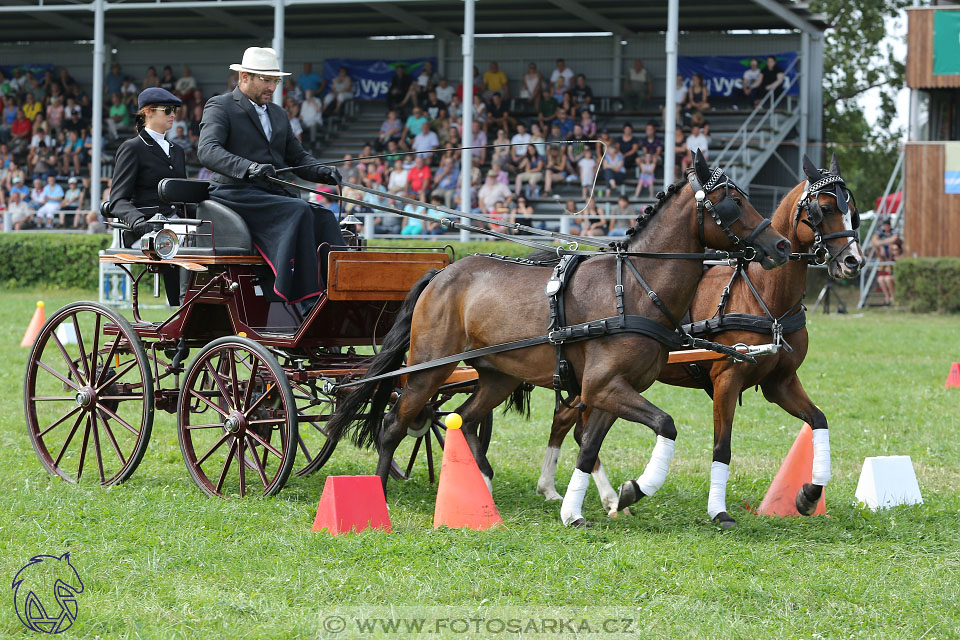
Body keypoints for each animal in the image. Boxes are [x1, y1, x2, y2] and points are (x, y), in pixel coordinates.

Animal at [322, 154, 788, 524]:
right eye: (733, 201)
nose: (781, 245)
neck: (635, 287)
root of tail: (442, 273)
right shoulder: (604, 386)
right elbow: (664, 424)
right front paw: (635, 489)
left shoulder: (606, 391)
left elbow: (588, 448)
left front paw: (580, 509)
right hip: (428, 370)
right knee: (393, 425)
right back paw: (380, 493)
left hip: (498, 376)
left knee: (466, 420)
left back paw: (481, 490)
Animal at [536, 152, 868, 528]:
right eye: (824, 208)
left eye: (852, 210)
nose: (853, 261)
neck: (765, 297)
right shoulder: (727, 378)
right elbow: (722, 447)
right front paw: (718, 511)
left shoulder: (780, 381)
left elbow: (819, 421)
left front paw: (809, 494)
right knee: (572, 425)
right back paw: (565, 491)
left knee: (570, 424)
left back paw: (571, 492)